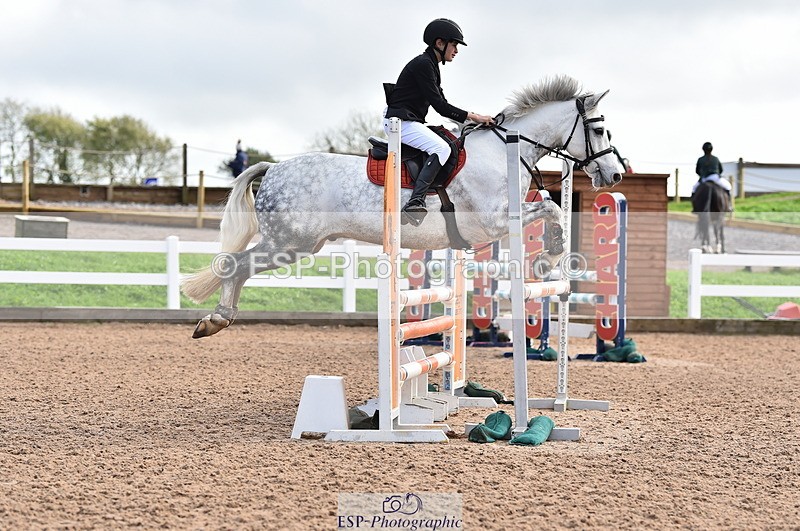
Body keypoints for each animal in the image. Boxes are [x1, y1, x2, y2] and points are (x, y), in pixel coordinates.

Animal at [182, 75, 625, 338]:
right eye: (601, 128)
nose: (616, 175)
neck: (504, 152)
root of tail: (273, 168)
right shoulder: (493, 222)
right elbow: (551, 209)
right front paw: (547, 258)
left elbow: (550, 207)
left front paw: (549, 256)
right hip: (290, 244)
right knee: (234, 265)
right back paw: (216, 319)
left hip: (297, 245)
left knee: (236, 266)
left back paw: (218, 318)